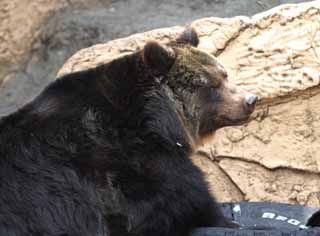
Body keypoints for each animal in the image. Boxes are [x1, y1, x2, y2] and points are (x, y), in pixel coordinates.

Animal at [0, 28, 255, 236]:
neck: (156, 120)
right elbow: (184, 196)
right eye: (212, 85)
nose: (250, 100)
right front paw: (226, 220)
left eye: (225, 75)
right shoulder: (129, 159)